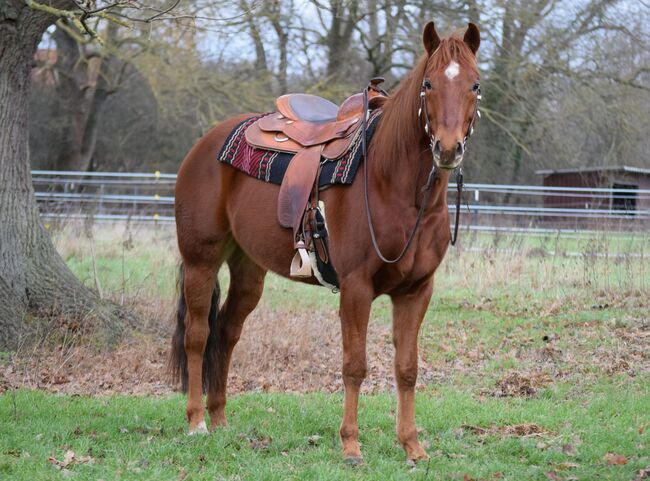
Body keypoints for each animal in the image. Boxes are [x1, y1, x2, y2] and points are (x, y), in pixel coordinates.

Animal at [170, 22, 478, 462]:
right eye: (428, 84)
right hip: (201, 260)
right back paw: (196, 422)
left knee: (226, 331)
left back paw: (221, 420)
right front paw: (351, 444)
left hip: (248, 267)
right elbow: (355, 365)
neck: (392, 181)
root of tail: (205, 143)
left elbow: (407, 368)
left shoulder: (417, 291)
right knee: (198, 334)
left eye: (475, 85)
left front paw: (412, 446)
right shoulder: (356, 289)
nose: (448, 148)